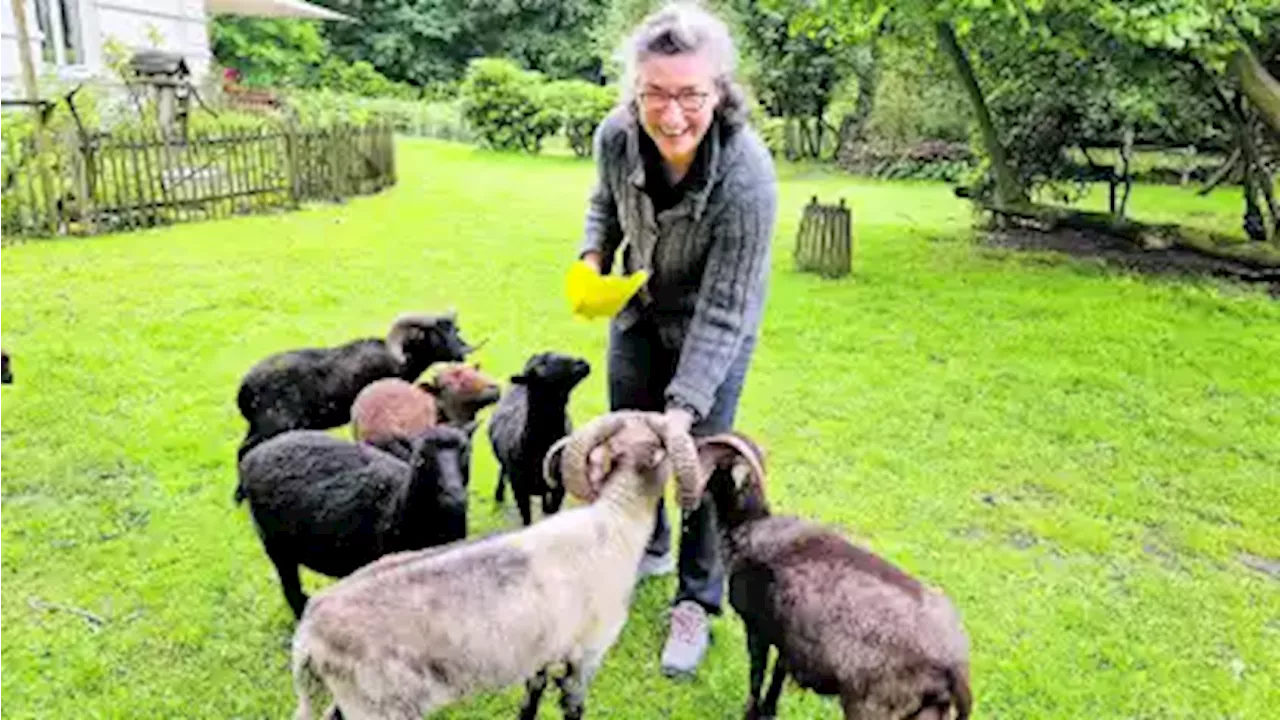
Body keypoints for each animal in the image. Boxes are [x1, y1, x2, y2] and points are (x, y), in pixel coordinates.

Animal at [232, 420, 478, 617]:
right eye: (421, 458)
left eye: (466, 451)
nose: (455, 496)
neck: (396, 501)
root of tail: (254, 455)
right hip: (275, 544)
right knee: (291, 589)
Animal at [290, 409, 706, 717]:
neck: (615, 521)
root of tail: (308, 635)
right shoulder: (586, 654)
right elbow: (573, 706)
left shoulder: (541, 653)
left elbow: (533, 694)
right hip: (378, 706)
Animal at [486, 351, 591, 525]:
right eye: (542, 366)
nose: (582, 362)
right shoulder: (519, 489)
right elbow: (527, 519)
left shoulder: (559, 486)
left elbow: (552, 511)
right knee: (502, 471)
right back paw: (498, 497)